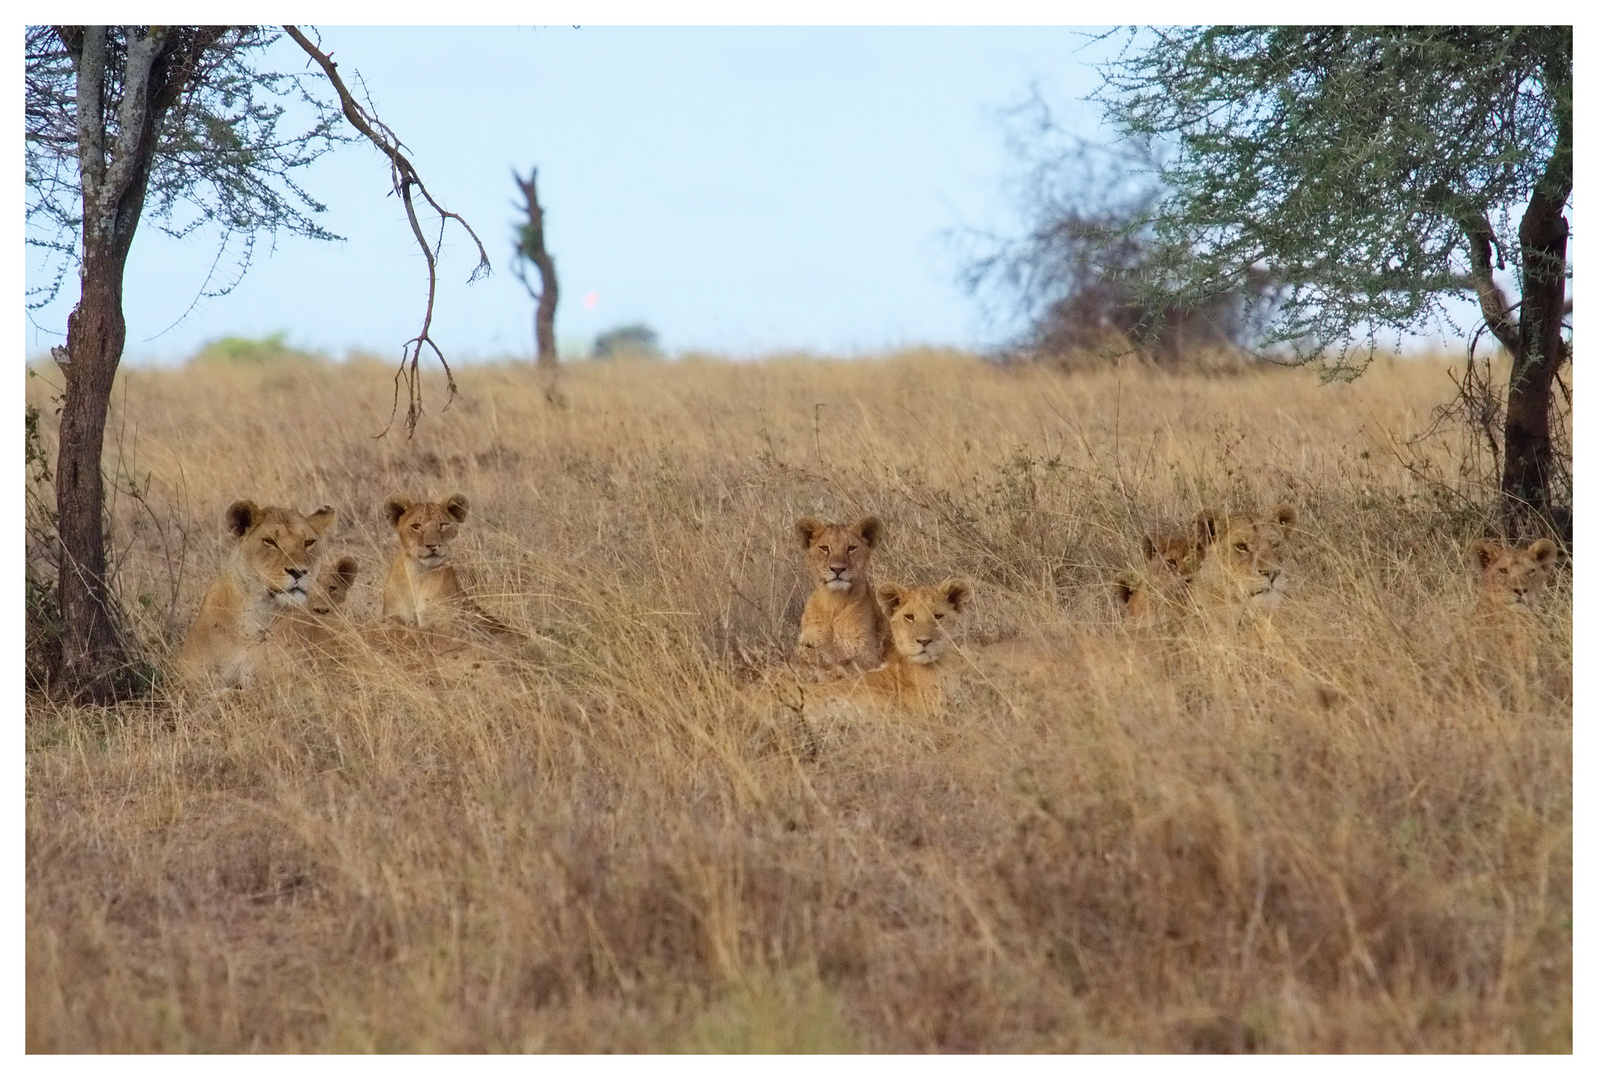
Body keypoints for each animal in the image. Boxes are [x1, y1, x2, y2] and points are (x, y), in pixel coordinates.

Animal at [380, 492, 517, 635]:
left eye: (443, 525)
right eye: (416, 526)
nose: (432, 545)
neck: (418, 573)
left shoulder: (445, 623)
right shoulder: (393, 617)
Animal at [795, 517, 894, 674]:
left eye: (851, 548)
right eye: (825, 548)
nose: (837, 569)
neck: (833, 602)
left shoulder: (869, 655)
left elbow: (845, 662)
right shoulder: (805, 649)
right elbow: (800, 662)